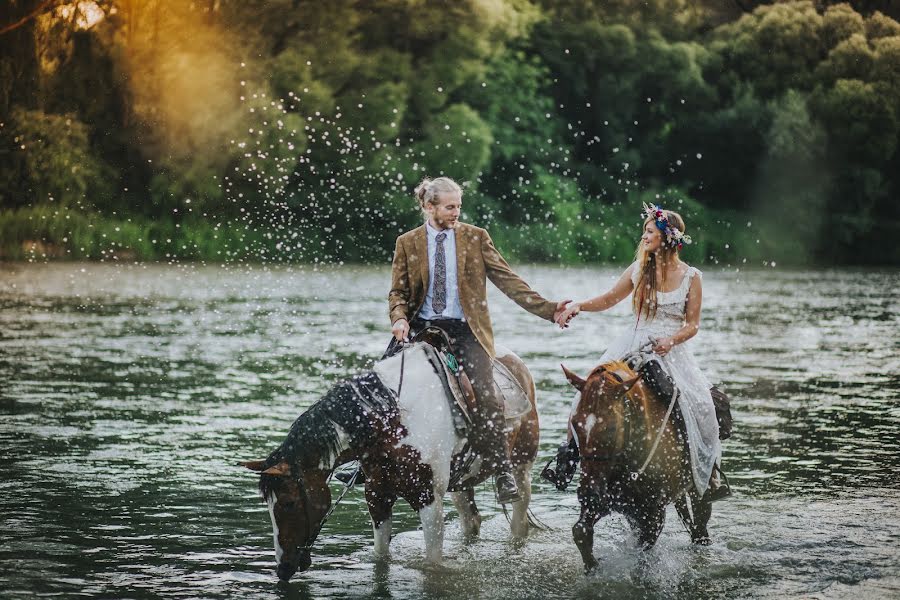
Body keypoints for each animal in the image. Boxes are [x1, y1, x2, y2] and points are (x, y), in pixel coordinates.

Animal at [244, 342, 540, 580]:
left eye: (289, 503)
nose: (283, 568)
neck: (392, 422)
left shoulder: (427, 499)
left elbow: (433, 563)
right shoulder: (377, 495)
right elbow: (380, 559)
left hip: (521, 467)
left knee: (519, 522)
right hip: (461, 484)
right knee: (471, 521)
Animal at [560, 360, 712, 572]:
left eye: (611, 428)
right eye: (575, 422)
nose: (587, 493)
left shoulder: (654, 514)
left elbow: (642, 555)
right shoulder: (608, 503)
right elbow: (581, 531)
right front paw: (593, 567)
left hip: (700, 486)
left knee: (700, 523)